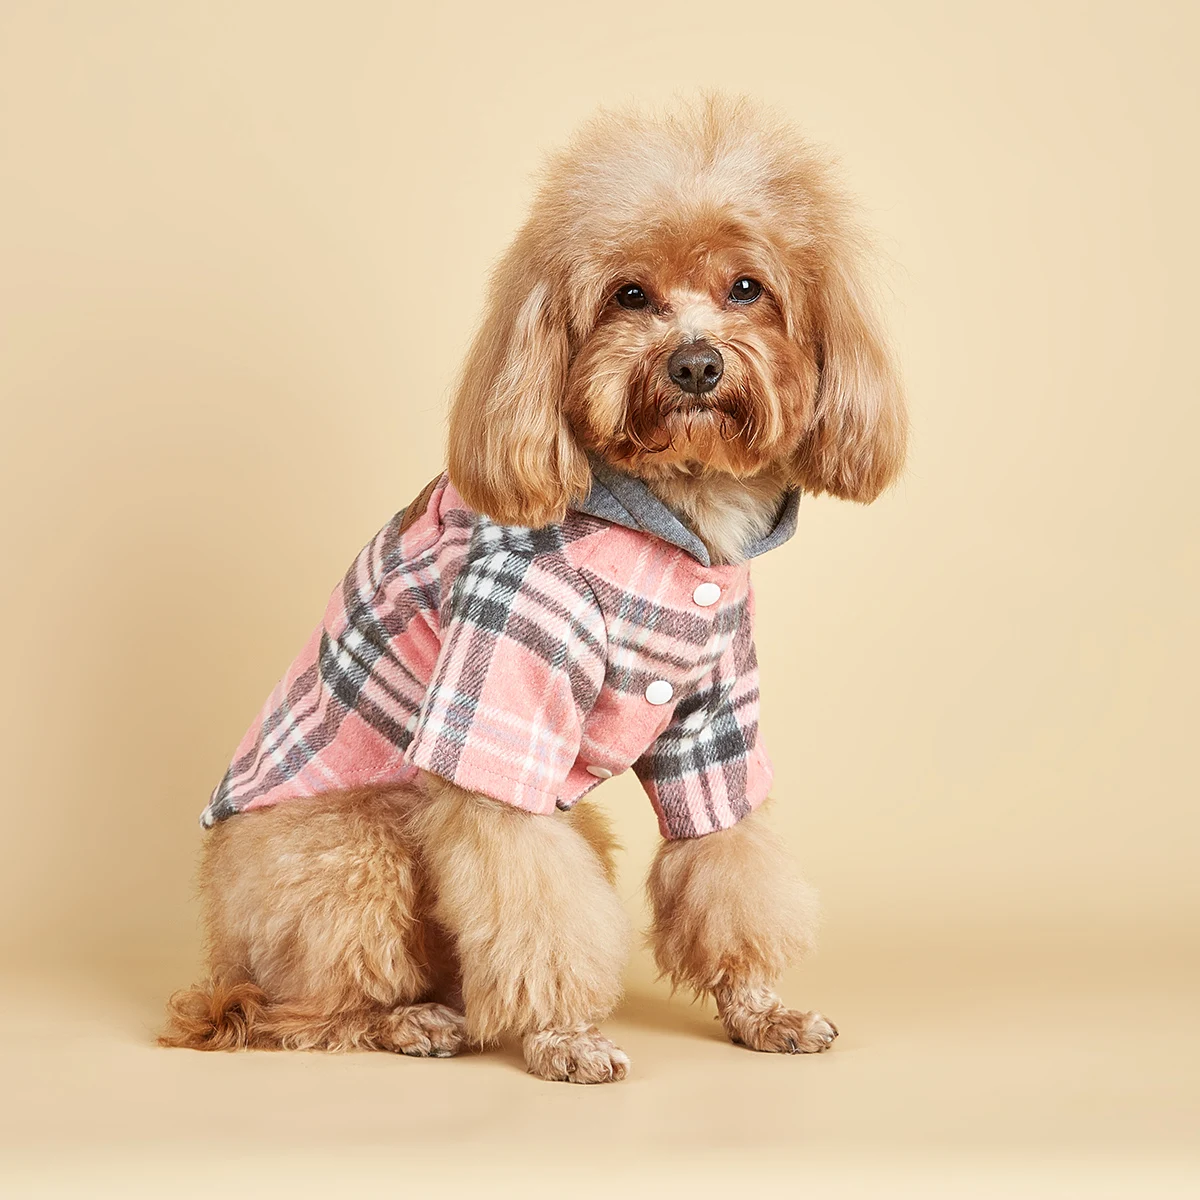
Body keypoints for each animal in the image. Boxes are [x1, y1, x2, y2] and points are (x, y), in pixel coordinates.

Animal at [162, 95, 906, 1083]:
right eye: (629, 295)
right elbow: (531, 903)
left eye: (748, 288)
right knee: (303, 1010)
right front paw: (564, 1037)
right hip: (351, 846)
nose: (695, 366)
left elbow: (727, 858)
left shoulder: (712, 722)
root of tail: (219, 953)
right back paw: (407, 1021)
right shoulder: (503, 700)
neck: (672, 516)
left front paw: (760, 1008)